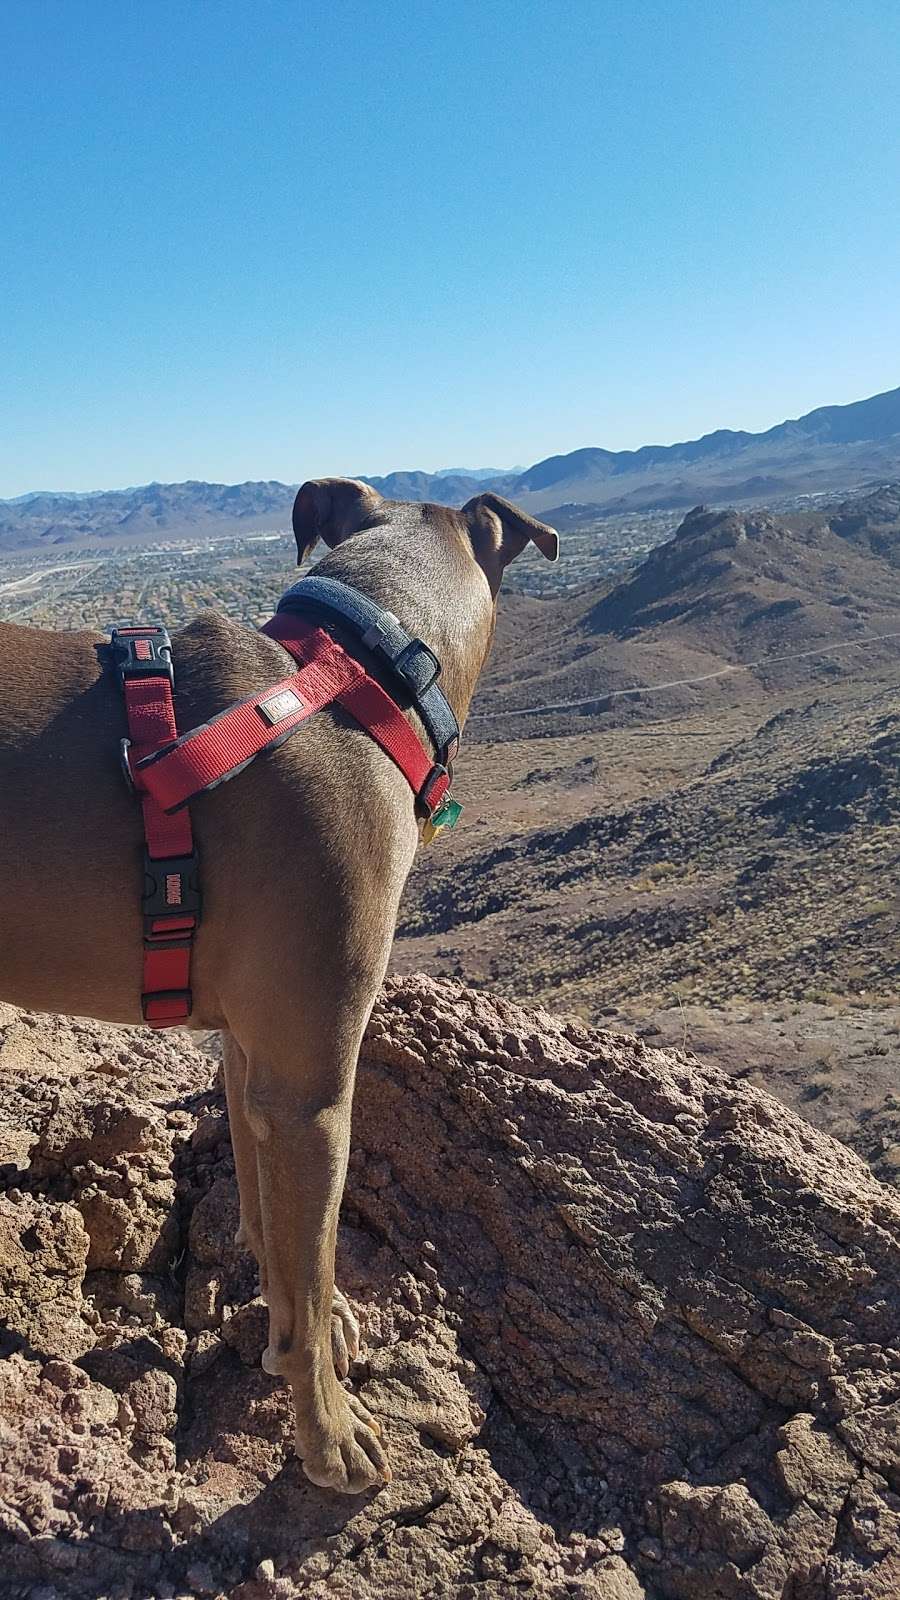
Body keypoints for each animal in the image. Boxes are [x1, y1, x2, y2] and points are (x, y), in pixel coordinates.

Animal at [0, 480, 557, 1491]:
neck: (360, 680)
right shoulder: (312, 1088)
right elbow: (315, 1253)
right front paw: (329, 1434)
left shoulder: (251, 1059)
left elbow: (279, 1237)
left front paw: (316, 1326)